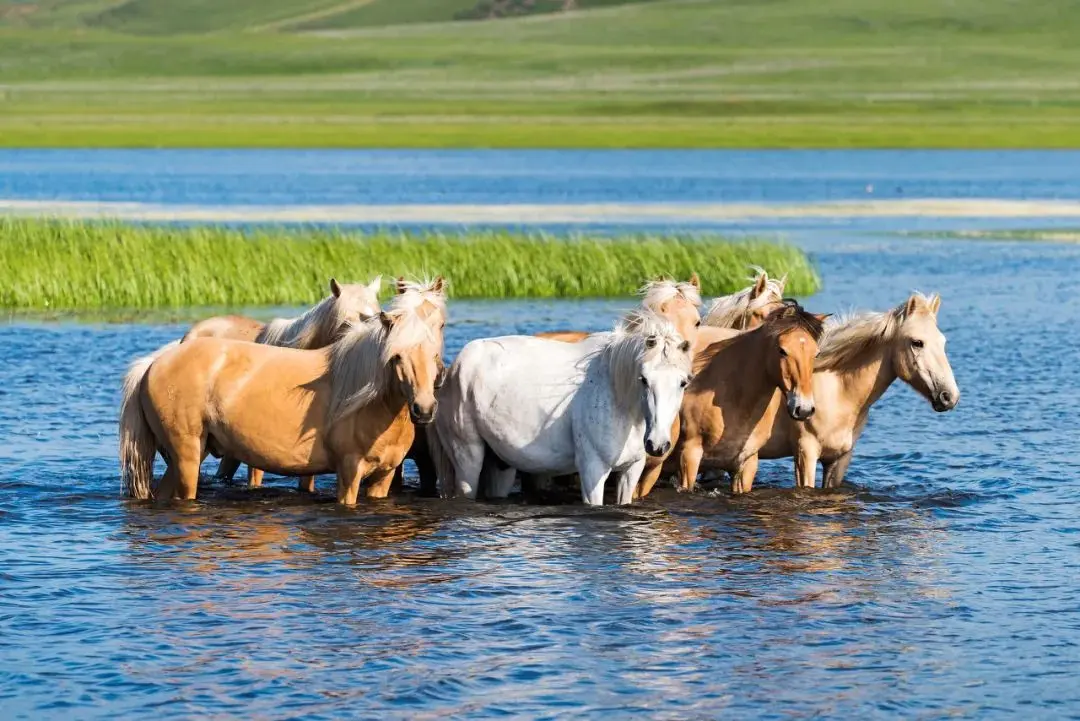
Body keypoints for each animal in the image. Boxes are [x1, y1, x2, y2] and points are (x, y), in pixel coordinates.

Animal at [429, 310, 691, 507]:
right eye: (643, 379)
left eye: (683, 382)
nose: (657, 445)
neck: (617, 398)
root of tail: (453, 369)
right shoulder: (592, 470)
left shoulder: (631, 471)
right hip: (467, 456)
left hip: (500, 463)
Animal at [751, 289, 963, 487]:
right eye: (917, 342)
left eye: (943, 342)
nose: (949, 396)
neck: (837, 394)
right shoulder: (805, 455)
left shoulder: (839, 459)